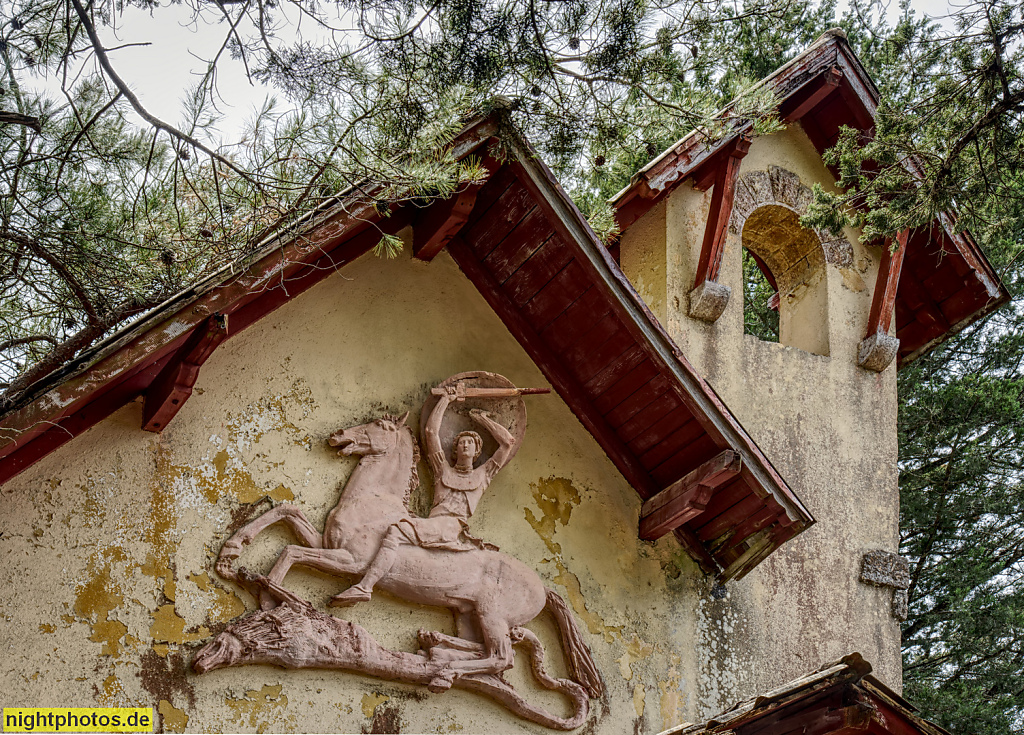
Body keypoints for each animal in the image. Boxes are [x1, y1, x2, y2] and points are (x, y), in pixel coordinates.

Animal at [214, 411, 598, 700]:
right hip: (467, 612)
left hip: (494, 615)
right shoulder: (325, 541)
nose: (338, 435)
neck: (372, 501)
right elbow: (286, 512)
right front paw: (231, 556)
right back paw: (436, 647)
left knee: (502, 658)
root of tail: (544, 588)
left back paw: (444, 671)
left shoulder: (350, 561)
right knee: (482, 649)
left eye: (379, 425)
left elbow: (292, 550)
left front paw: (271, 593)